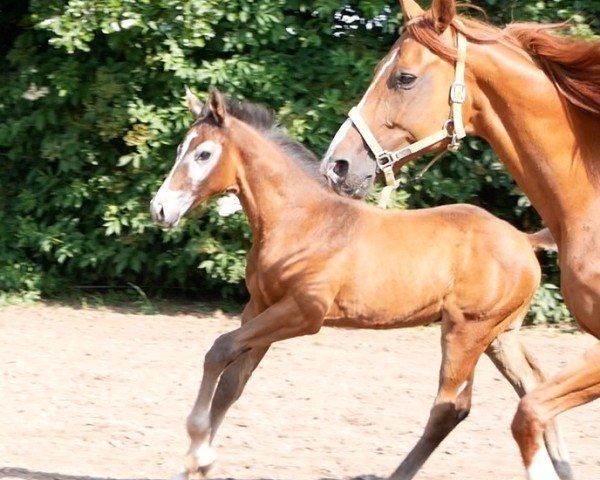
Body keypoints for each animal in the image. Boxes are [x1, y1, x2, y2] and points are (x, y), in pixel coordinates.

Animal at [149, 90, 568, 480]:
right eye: (180, 149)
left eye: (203, 154)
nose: (160, 209)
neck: (302, 220)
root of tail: (524, 239)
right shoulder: (261, 307)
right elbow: (232, 383)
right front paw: (197, 464)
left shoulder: (304, 313)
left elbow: (219, 350)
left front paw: (197, 451)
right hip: (500, 335)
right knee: (534, 386)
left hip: (465, 331)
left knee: (450, 409)